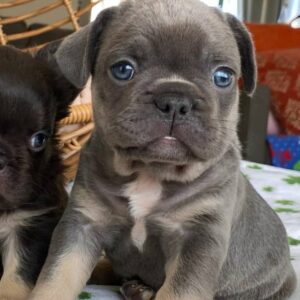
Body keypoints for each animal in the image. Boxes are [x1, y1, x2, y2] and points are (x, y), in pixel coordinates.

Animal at [29, 0, 296, 300]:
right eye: (123, 69)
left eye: (223, 76)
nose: (175, 100)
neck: (152, 171)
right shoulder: (83, 225)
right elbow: (56, 277)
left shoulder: (197, 237)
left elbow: (179, 290)